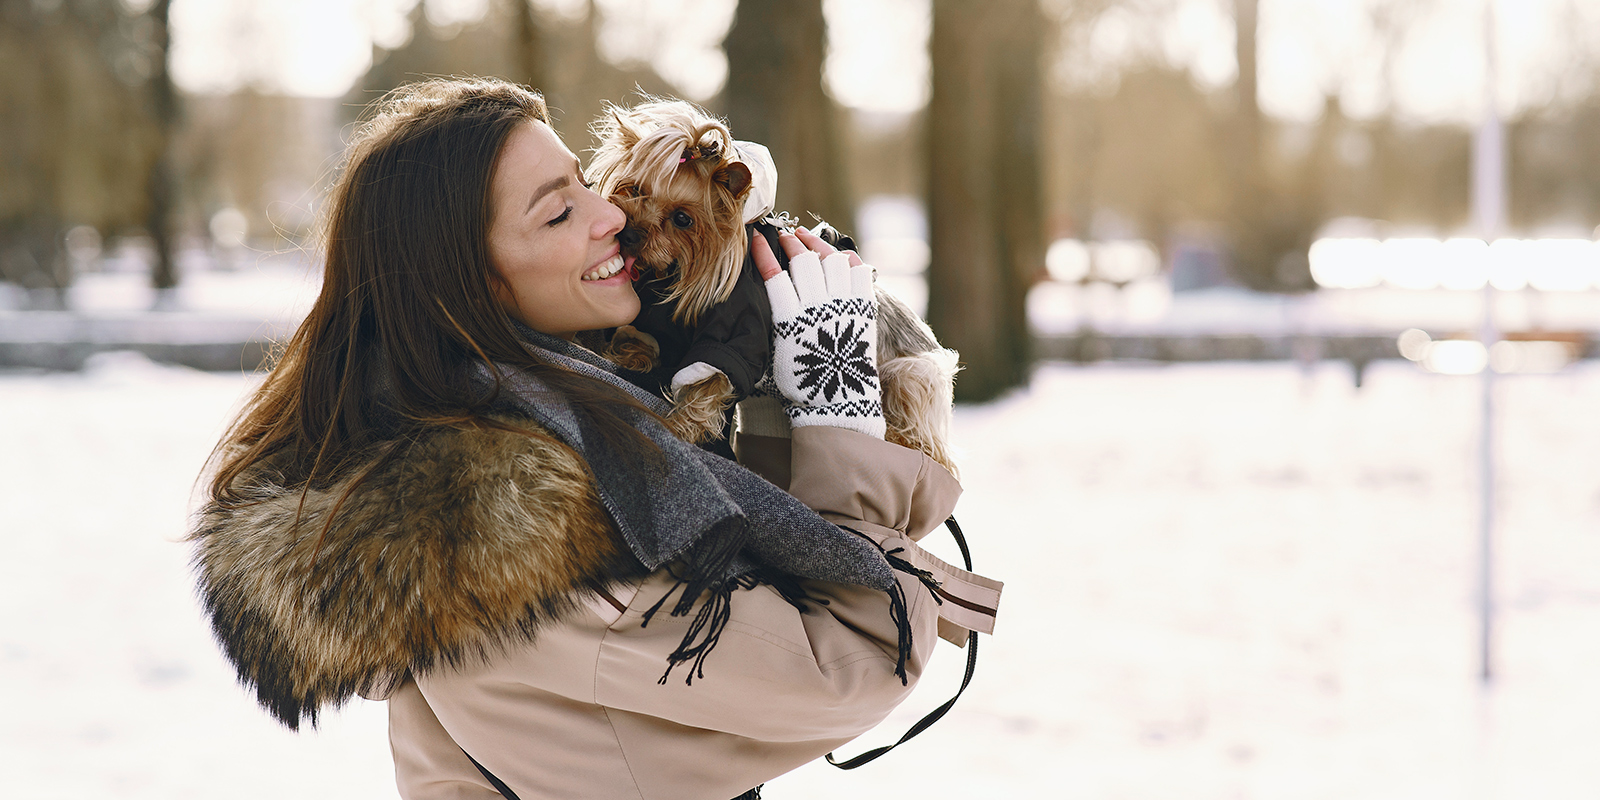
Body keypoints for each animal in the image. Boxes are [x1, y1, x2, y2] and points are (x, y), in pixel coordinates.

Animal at [592, 99, 953, 473]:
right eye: (635, 190)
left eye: (682, 219)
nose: (629, 235)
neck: (676, 271)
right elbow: (639, 338)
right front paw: (630, 355)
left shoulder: (738, 324)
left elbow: (713, 375)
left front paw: (678, 426)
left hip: (909, 373)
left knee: (929, 446)